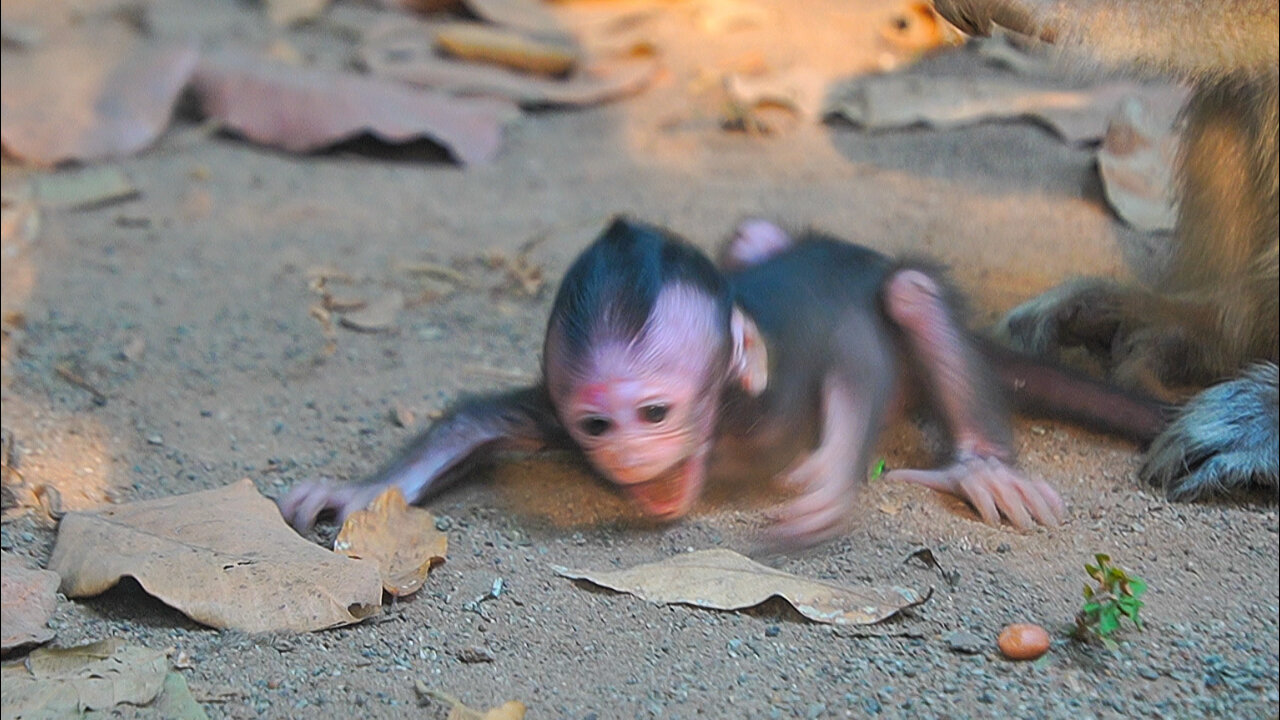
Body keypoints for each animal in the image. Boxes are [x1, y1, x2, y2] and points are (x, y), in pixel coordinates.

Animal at [285, 217, 1167, 543]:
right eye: (597, 424)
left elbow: (857, 357)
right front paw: (356, 493)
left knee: (910, 296)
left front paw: (826, 484)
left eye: (653, 411)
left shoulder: (779, 386)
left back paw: (982, 465)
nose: (628, 455)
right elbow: (476, 424)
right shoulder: (553, 417)